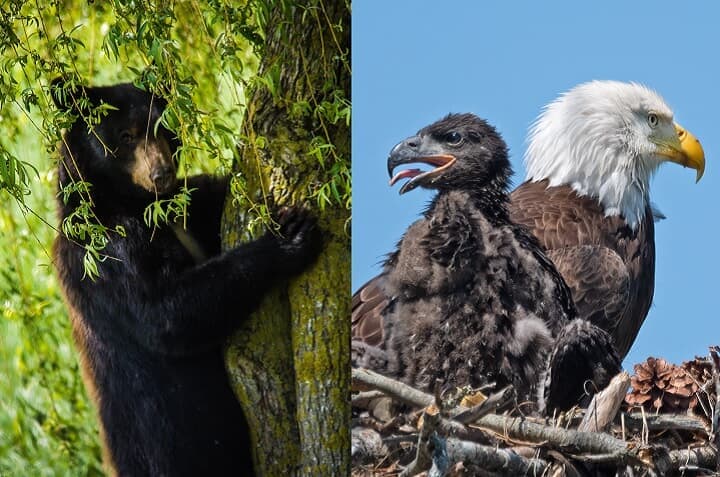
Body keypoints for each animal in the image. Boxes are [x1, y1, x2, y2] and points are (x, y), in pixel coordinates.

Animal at [51, 80, 322, 476]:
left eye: (163, 128)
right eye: (126, 135)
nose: (161, 173)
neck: (138, 205)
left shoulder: (189, 209)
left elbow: (213, 194)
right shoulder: (106, 251)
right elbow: (166, 313)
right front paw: (288, 236)